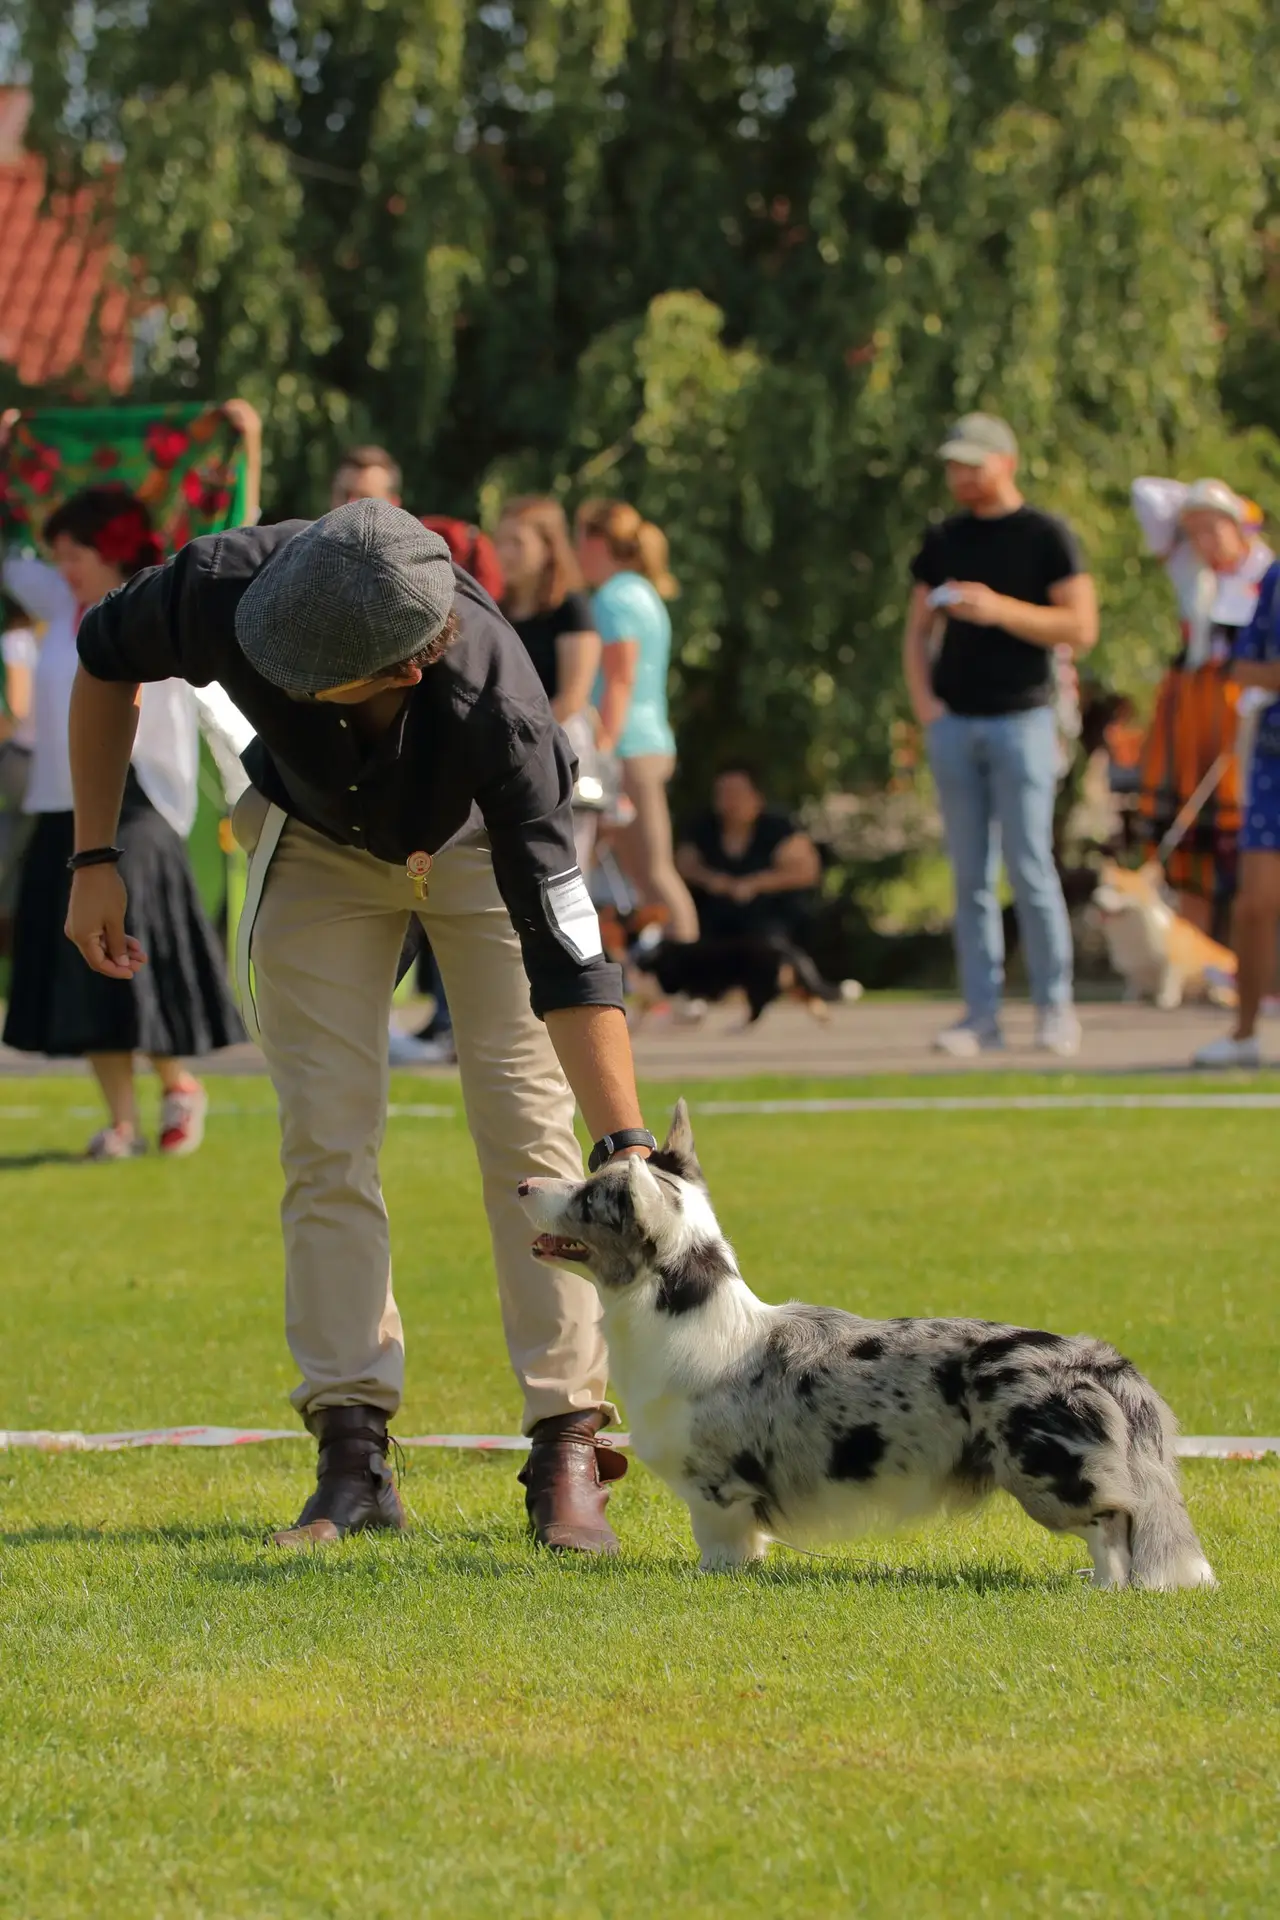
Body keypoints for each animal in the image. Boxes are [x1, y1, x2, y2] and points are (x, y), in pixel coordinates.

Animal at [518, 1113, 1212, 1589]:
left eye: (588, 1197)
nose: (523, 1184)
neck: (689, 1316)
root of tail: (1092, 1359)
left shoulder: (717, 1489)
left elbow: (721, 1544)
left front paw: (712, 1578)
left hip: (1048, 1471)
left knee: (1114, 1523)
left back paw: (1106, 1588)